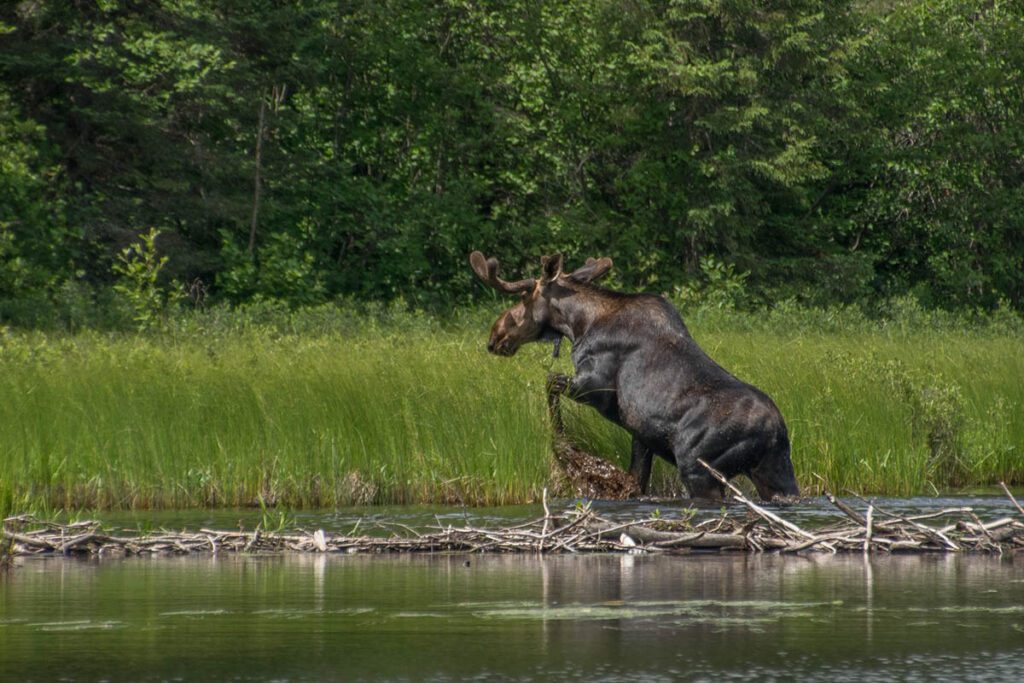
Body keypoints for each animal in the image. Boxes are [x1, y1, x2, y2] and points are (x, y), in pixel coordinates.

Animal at [468, 250, 798, 501]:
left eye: (525, 296)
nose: (495, 336)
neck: (577, 324)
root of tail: (774, 431)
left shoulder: (596, 386)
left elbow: (550, 383)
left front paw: (566, 448)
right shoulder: (641, 434)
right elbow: (636, 479)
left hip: (699, 469)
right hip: (775, 471)